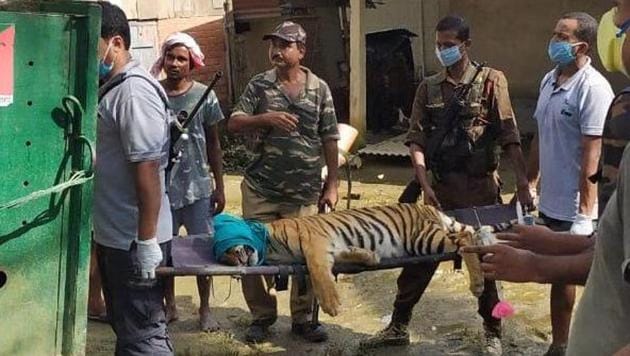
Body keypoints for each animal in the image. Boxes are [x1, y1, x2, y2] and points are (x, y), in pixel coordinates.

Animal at [218, 203, 508, 318]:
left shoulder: (316, 245)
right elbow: (348, 253)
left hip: (423, 238)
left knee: (465, 241)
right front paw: (369, 256)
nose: (234, 260)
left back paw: (478, 285)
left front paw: (331, 306)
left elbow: (318, 272)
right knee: (472, 233)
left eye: (227, 248)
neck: (269, 245)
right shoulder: (333, 247)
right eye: (222, 254)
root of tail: (429, 207)